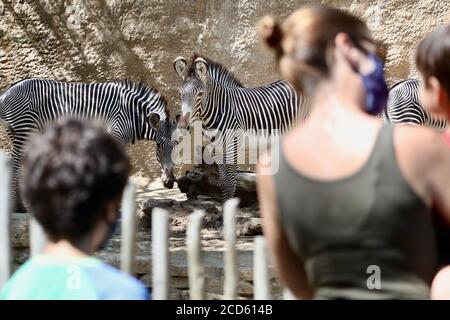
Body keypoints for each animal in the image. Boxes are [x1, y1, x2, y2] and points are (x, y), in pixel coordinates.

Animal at [0, 78, 179, 211]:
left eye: (176, 145)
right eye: (158, 145)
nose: (169, 183)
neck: (132, 115)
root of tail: (8, 91)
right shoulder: (116, 135)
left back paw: (21, 206)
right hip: (24, 130)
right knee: (15, 164)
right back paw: (15, 207)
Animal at [172, 54, 310, 200]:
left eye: (200, 94)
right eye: (180, 93)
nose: (182, 126)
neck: (219, 110)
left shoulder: (232, 148)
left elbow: (230, 183)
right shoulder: (218, 150)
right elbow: (223, 181)